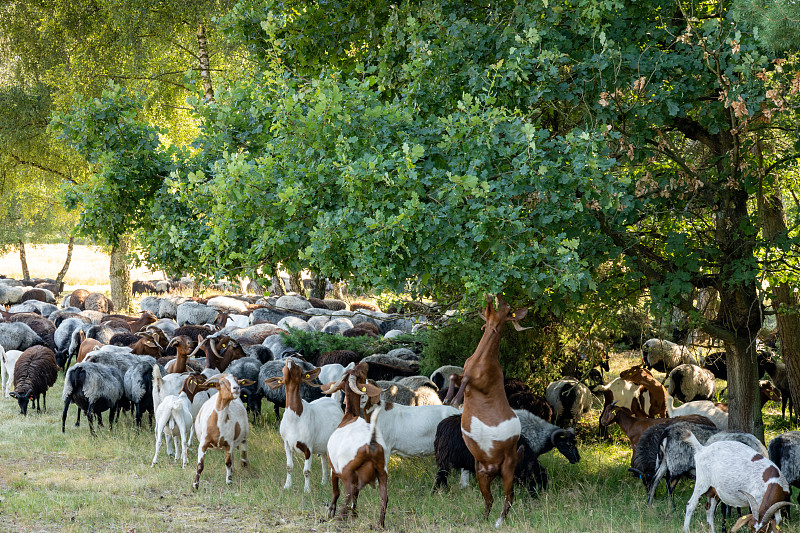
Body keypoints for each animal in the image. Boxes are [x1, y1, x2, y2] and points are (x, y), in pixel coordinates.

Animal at [264, 358, 346, 490]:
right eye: (283, 369)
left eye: (298, 368)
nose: (289, 359)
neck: (294, 419)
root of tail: (334, 401)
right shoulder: (287, 444)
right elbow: (289, 467)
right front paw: (287, 486)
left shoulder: (308, 447)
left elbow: (306, 471)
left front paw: (306, 490)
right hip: (323, 445)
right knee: (324, 460)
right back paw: (324, 482)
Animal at [322, 362, 390, 528]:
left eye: (361, 373)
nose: (365, 363)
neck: (349, 416)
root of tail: (370, 444)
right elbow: (357, 495)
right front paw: (353, 515)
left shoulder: (334, 469)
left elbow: (336, 492)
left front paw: (331, 513)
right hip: (382, 472)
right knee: (383, 498)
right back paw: (380, 524)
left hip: (347, 473)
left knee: (347, 494)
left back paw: (340, 518)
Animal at [450, 296, 532, 528]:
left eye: (509, 309)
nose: (490, 297)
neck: (482, 359)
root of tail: (493, 469)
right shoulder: (464, 374)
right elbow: (453, 377)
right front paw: (450, 399)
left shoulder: (480, 382)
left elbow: (463, 384)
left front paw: (455, 401)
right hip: (481, 472)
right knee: (490, 499)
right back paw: (483, 519)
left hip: (508, 468)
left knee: (509, 496)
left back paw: (498, 522)